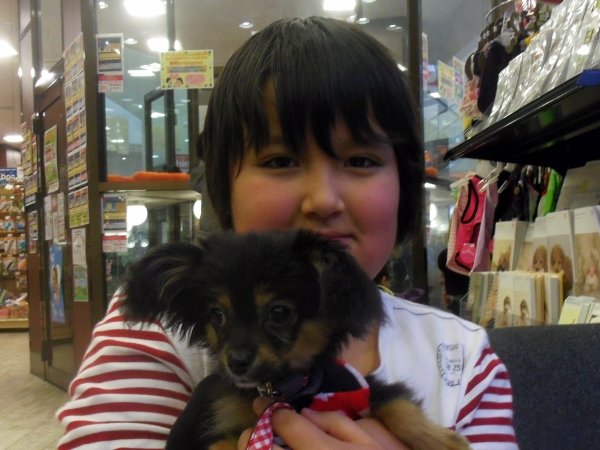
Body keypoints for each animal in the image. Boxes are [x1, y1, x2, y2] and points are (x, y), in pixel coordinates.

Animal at [123, 230, 469, 450]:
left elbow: (395, 402)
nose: (236, 362)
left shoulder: (357, 385)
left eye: (279, 312)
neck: (285, 391)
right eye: (217, 314)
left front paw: (443, 441)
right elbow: (222, 443)